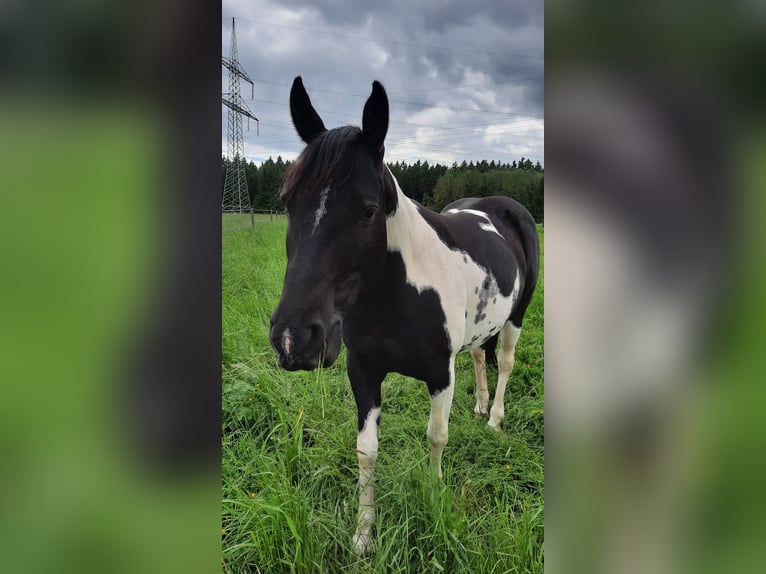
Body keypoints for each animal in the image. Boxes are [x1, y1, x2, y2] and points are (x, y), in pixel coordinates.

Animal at [270, 77, 540, 560]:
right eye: (287, 202)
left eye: (367, 209)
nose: (293, 340)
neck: (399, 295)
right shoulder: (363, 371)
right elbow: (366, 450)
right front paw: (363, 534)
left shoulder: (439, 374)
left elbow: (436, 436)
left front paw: (433, 503)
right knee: (479, 356)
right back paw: (479, 407)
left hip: (518, 316)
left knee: (505, 363)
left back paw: (494, 420)